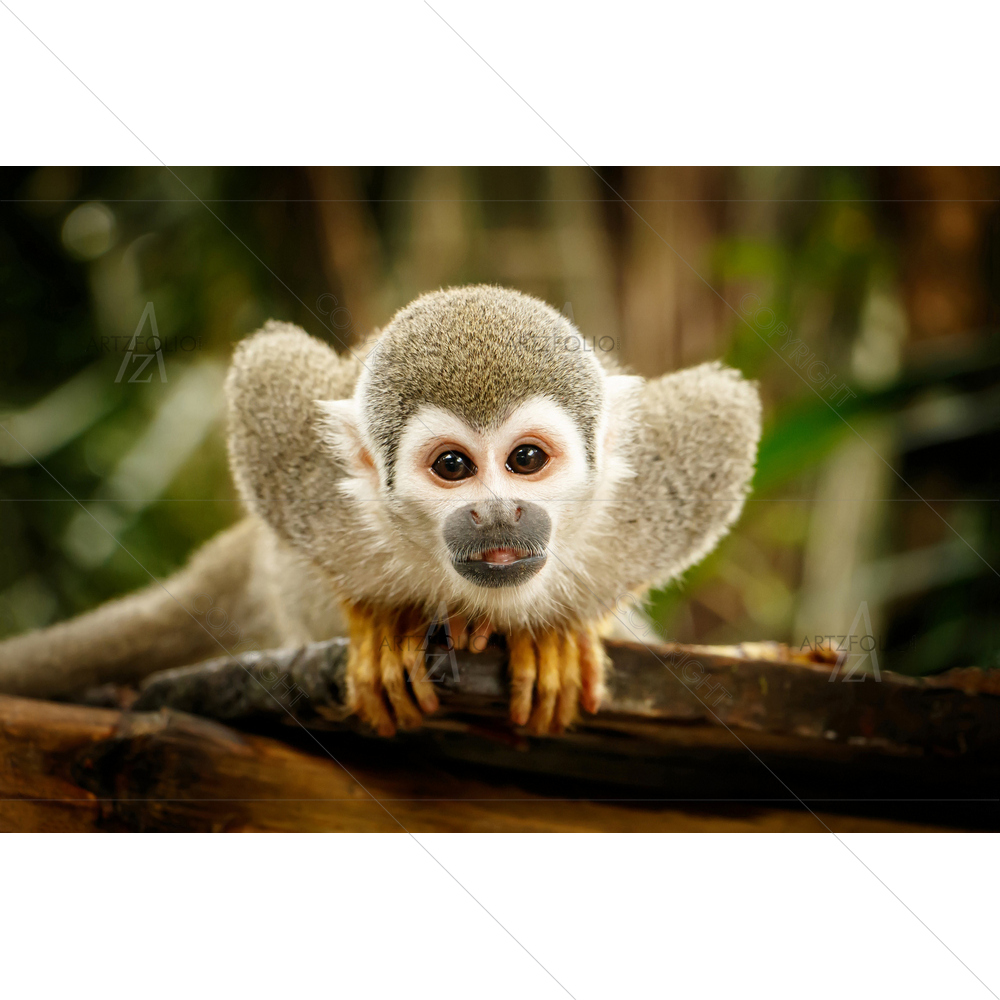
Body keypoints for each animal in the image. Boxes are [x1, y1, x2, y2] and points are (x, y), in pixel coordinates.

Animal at [0, 285, 762, 736]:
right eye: (453, 467)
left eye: (525, 461)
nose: (497, 514)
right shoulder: (308, 486)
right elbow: (268, 370)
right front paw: (377, 620)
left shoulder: (653, 490)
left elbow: (724, 412)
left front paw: (561, 632)